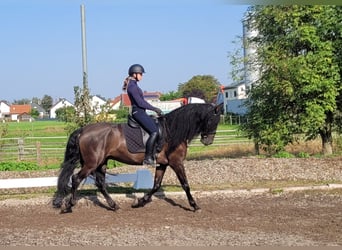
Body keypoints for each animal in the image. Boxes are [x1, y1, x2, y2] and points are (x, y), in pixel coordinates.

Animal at [53, 102, 223, 212]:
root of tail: (83, 130)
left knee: (100, 183)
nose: (208, 141)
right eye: (212, 120)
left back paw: (113, 205)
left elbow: (156, 185)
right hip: (91, 163)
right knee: (76, 179)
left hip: (101, 162)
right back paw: (69, 206)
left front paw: (140, 202)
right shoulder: (176, 162)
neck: (172, 131)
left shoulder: (163, 164)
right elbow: (185, 184)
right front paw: (194, 205)